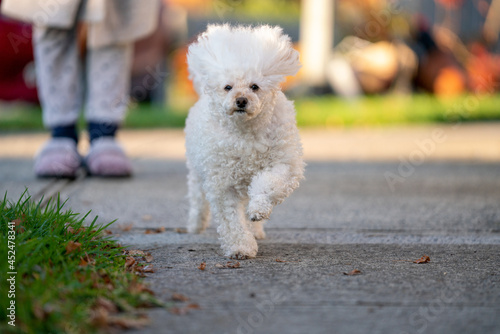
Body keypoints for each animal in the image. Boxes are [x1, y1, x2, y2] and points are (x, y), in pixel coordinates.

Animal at [185, 24, 304, 258]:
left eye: (254, 86)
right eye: (228, 87)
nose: (241, 100)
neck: (246, 133)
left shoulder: (283, 164)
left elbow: (268, 184)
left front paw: (258, 210)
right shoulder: (222, 183)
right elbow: (231, 220)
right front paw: (240, 247)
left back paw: (255, 228)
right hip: (196, 172)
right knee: (197, 199)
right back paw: (195, 224)